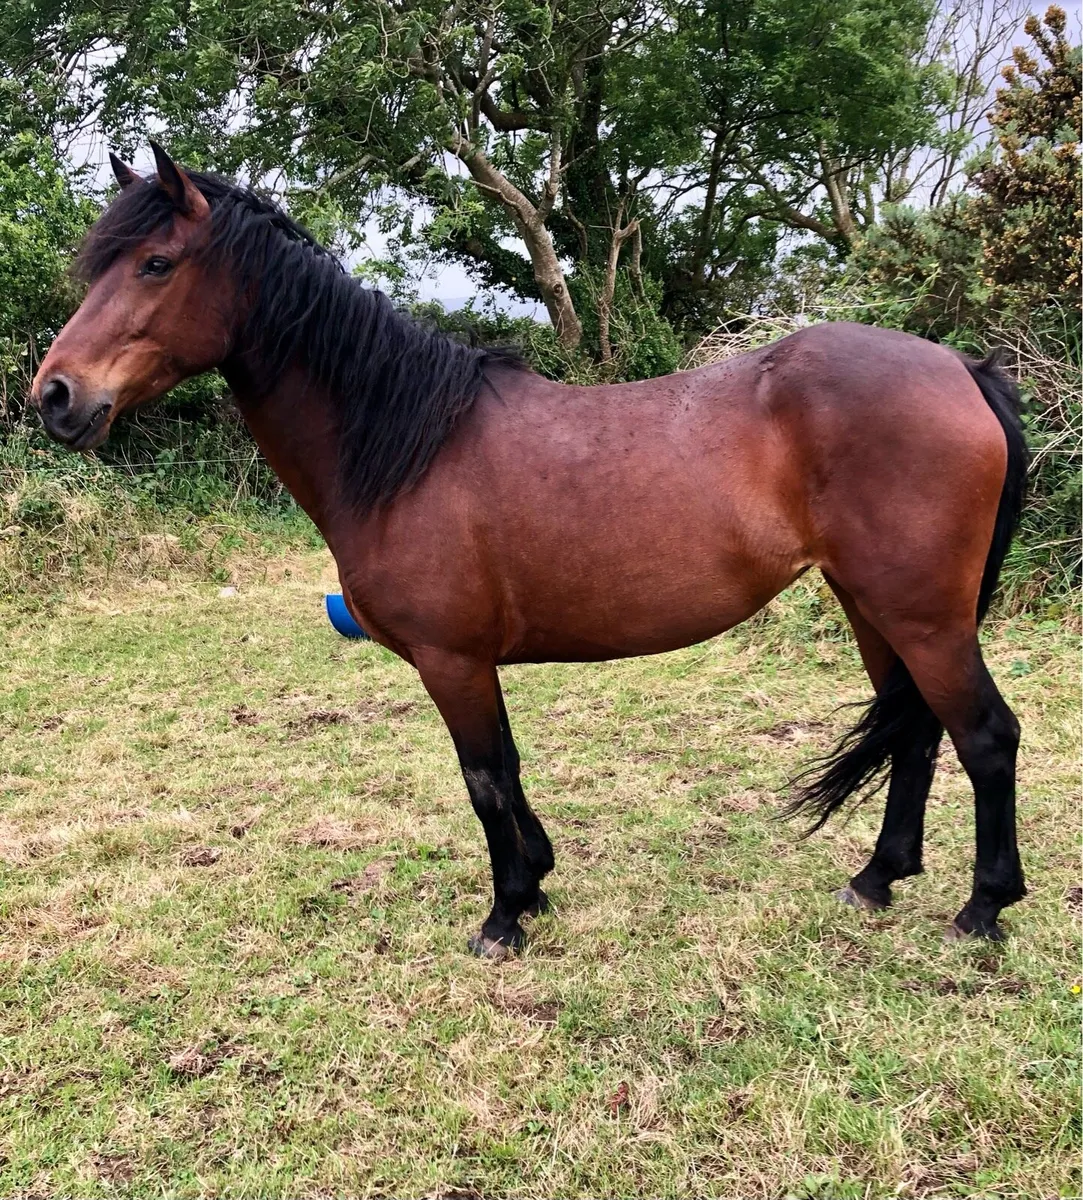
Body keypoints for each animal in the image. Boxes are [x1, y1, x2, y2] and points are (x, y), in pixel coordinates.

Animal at [30, 144, 1029, 955]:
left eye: (156, 264)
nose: (55, 396)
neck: (408, 443)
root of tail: (959, 368)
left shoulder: (451, 659)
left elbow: (482, 778)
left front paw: (505, 912)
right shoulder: (474, 660)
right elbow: (507, 769)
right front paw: (539, 881)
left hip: (921, 615)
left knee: (983, 735)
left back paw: (982, 908)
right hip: (874, 609)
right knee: (916, 733)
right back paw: (876, 878)